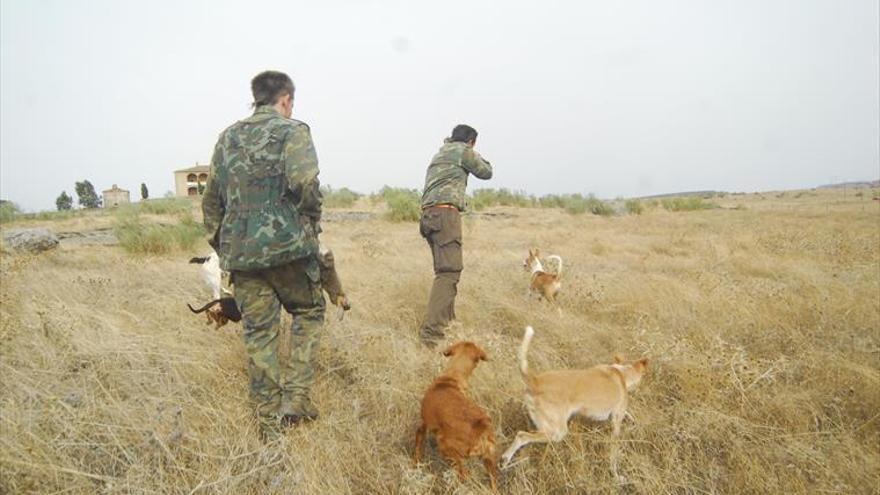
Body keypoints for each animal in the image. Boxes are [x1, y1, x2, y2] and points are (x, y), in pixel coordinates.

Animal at [412, 340, 496, 492]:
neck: (452, 377)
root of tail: (482, 428)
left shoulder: (424, 424)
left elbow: (418, 443)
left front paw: (415, 464)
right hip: (490, 462)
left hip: (445, 446)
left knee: (464, 475)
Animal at [498, 326, 648, 480]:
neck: (621, 373)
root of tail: (536, 381)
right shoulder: (616, 424)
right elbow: (614, 454)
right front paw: (616, 475)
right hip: (557, 432)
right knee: (521, 436)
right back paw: (505, 460)